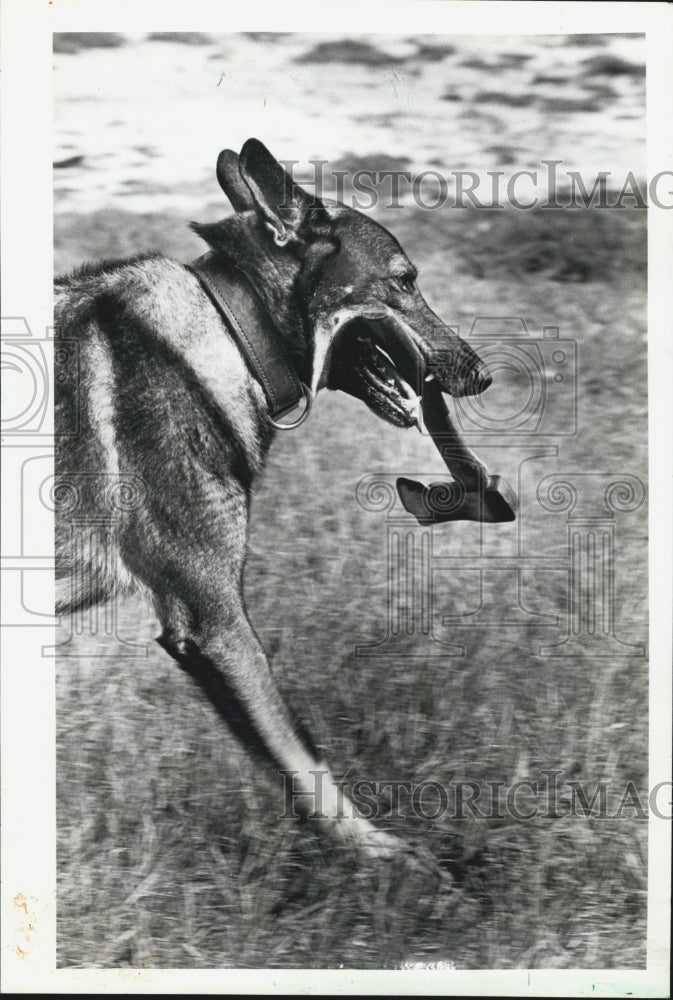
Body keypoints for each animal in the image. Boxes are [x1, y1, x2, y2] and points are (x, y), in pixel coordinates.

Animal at [55, 139, 490, 860]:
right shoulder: (215, 624)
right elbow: (303, 757)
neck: (229, 331)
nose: (481, 374)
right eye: (404, 280)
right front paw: (384, 858)